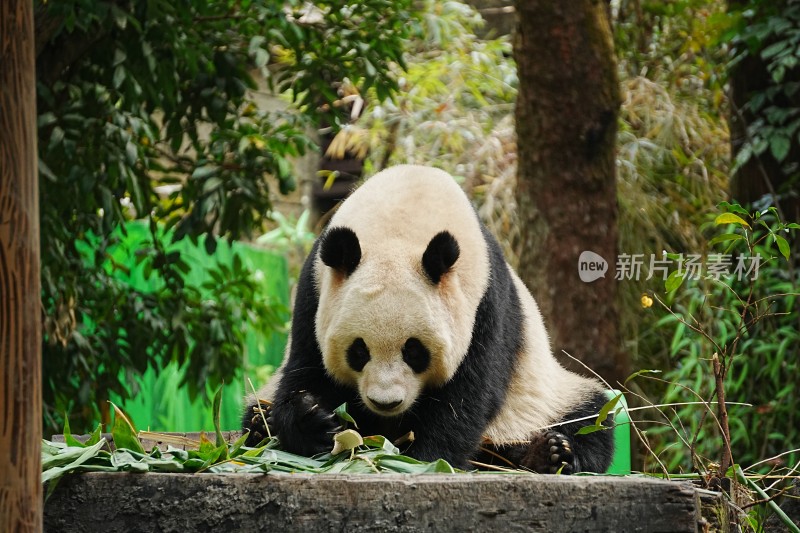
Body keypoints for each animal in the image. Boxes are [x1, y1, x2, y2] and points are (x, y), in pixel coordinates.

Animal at [244, 164, 612, 472]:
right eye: (358, 350)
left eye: (414, 351)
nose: (385, 402)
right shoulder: (314, 291)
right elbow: (306, 367)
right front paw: (313, 418)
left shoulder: (485, 304)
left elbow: (466, 395)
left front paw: (422, 459)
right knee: (255, 413)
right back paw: (264, 424)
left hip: (541, 397)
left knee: (588, 417)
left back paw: (550, 453)